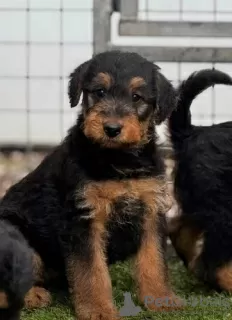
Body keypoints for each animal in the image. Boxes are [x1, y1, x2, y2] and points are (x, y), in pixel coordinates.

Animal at [0, 50, 180, 320]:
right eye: (99, 91)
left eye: (136, 97)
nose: (112, 129)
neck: (118, 161)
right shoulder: (83, 218)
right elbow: (91, 271)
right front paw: (98, 310)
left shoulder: (151, 211)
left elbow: (154, 261)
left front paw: (160, 299)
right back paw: (32, 296)